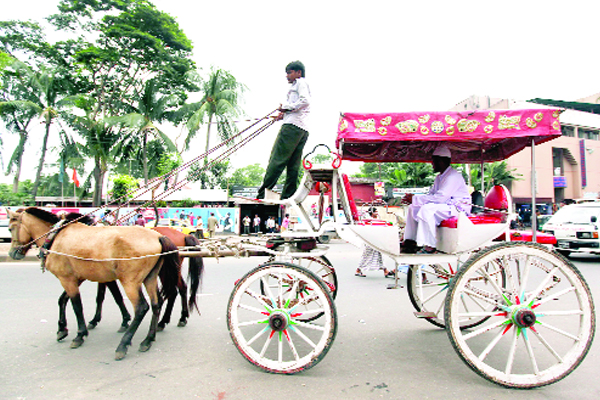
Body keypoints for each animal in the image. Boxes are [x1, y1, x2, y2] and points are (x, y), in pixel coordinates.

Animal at [8, 208, 180, 360]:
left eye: (10, 228)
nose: (12, 253)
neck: (56, 236)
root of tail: (157, 236)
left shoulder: (67, 279)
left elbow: (77, 306)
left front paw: (79, 334)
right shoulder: (76, 277)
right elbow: (63, 300)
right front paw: (62, 329)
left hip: (130, 281)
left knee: (142, 307)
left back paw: (123, 345)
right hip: (150, 278)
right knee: (156, 304)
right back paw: (148, 340)